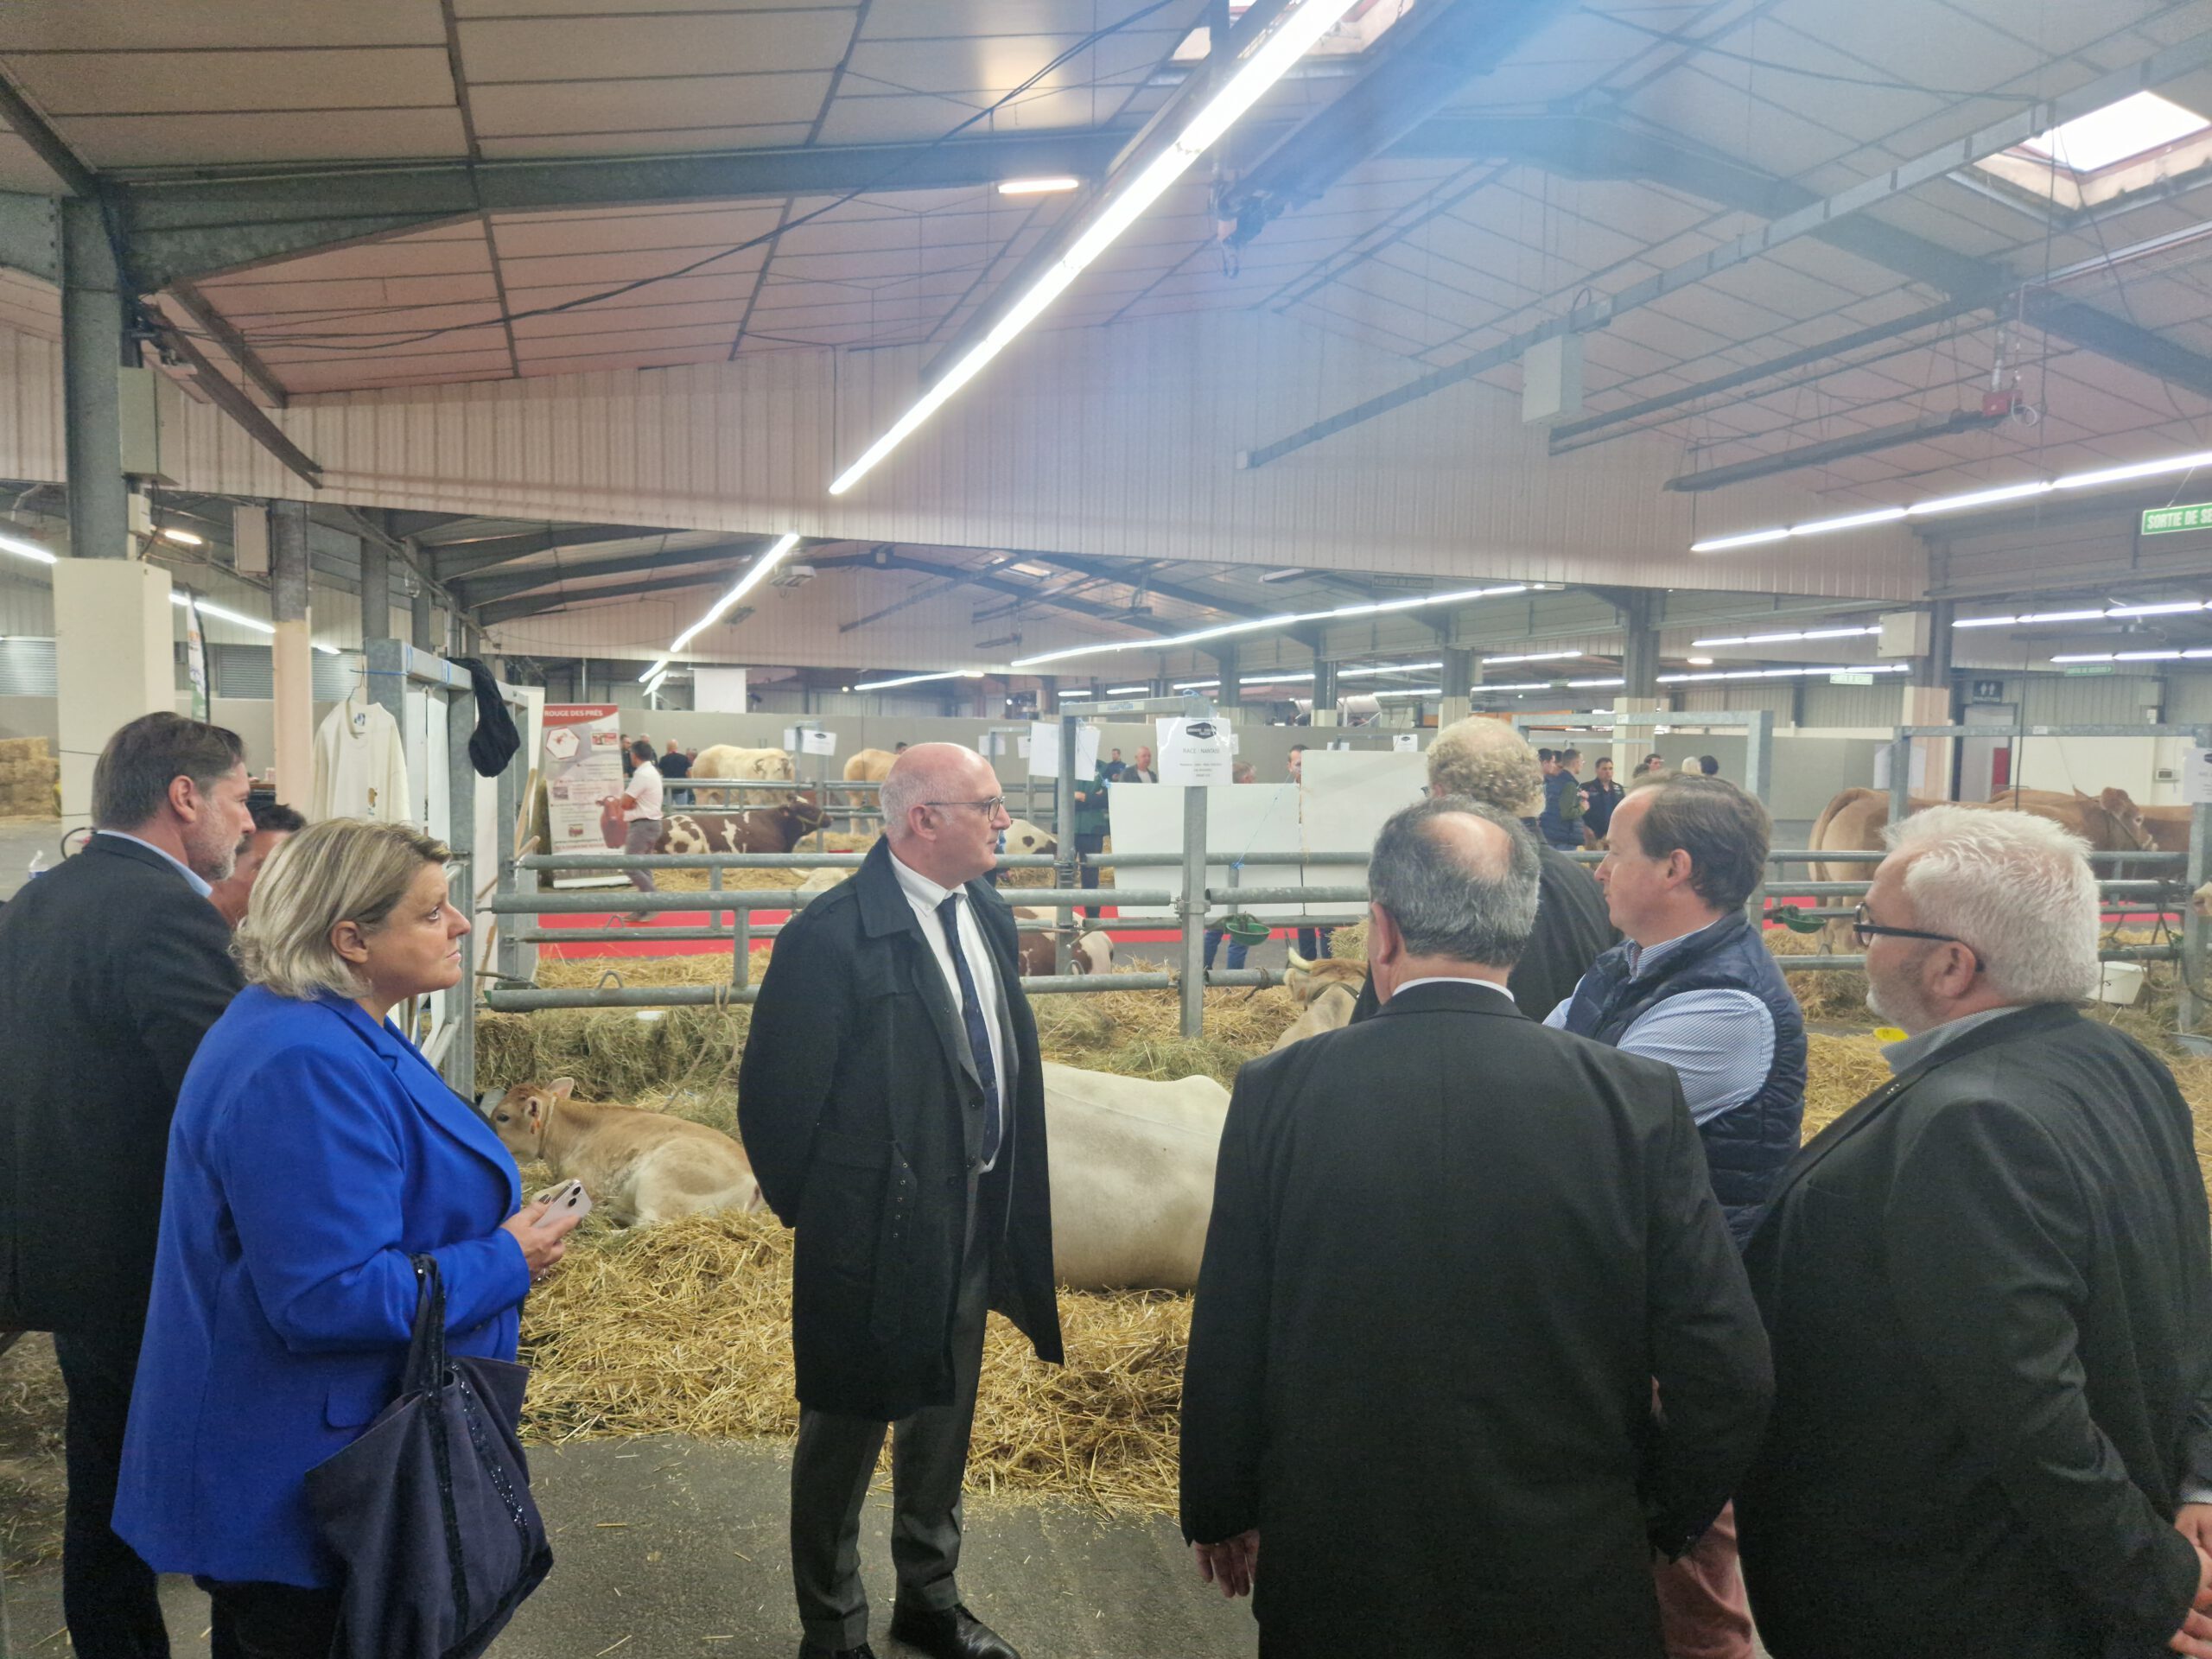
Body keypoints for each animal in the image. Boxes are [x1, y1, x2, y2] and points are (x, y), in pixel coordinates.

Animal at [482, 1084, 760, 1230]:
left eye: (503, 1117)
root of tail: (753, 1179)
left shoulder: (589, 1181)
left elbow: (539, 1196)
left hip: (660, 1176)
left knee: (650, 1225)